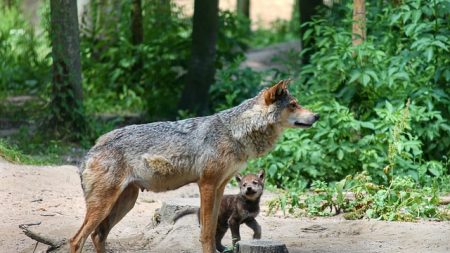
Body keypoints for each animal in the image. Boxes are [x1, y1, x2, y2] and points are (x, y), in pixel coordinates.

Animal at [69, 79, 320, 253]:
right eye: (293, 105)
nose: (317, 115)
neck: (234, 132)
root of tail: (91, 150)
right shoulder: (206, 185)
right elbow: (207, 234)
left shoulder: (219, 188)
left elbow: (213, 229)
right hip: (105, 206)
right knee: (76, 239)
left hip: (125, 203)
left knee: (98, 236)